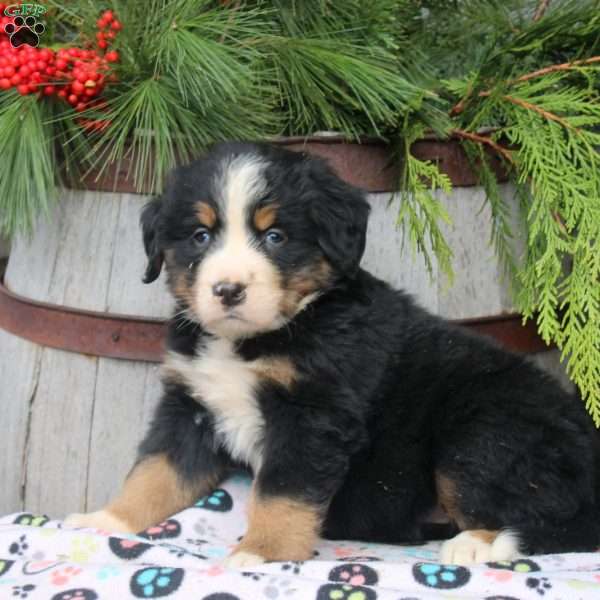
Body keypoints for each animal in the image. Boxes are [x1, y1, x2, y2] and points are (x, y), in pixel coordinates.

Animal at [63, 142, 596, 568]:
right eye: (200, 236)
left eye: (275, 236)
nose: (228, 290)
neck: (256, 340)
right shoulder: (190, 405)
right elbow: (154, 472)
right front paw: (106, 520)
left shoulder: (312, 417)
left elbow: (281, 494)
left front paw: (261, 553)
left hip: (482, 434)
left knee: (557, 520)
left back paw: (482, 544)